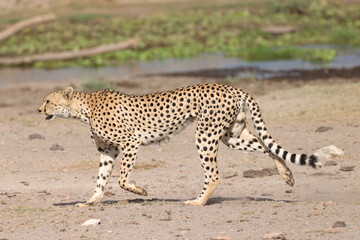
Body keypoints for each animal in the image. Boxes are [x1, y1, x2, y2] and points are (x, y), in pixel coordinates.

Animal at [38, 83, 320, 205]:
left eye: (48, 101)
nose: (39, 109)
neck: (84, 107)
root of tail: (233, 87)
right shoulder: (107, 151)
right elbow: (101, 178)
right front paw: (92, 201)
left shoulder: (131, 142)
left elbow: (122, 179)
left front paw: (141, 191)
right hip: (231, 135)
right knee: (266, 145)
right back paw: (286, 175)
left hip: (205, 134)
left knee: (214, 174)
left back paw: (197, 201)